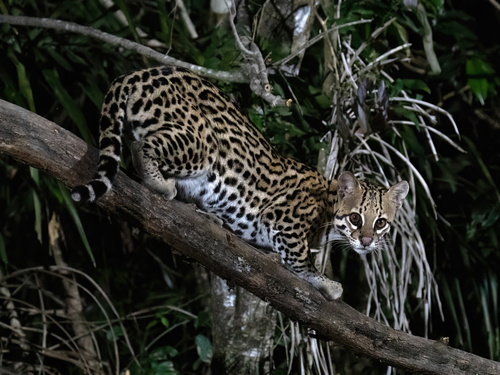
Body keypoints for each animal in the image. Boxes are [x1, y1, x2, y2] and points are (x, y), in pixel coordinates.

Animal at [74, 66, 410, 302]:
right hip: (199, 143)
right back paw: (162, 185)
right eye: (355, 218)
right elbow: (300, 263)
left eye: (380, 223)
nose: (366, 241)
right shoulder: (285, 222)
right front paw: (325, 282)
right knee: (141, 146)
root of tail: (138, 73)